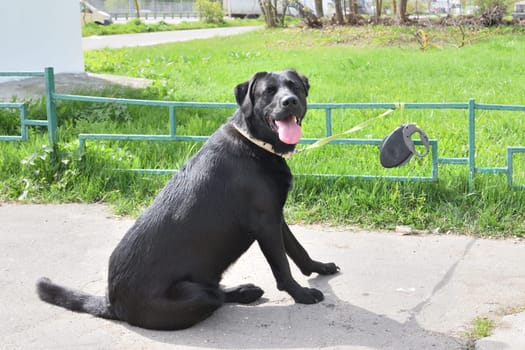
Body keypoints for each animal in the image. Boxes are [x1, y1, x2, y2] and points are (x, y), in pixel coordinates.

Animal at [36, 70, 340, 330]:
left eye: (295, 87)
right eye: (268, 92)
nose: (290, 102)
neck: (255, 142)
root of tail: (112, 303)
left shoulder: (276, 215)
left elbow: (297, 250)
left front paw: (319, 268)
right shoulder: (265, 222)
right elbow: (282, 266)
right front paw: (301, 294)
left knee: (217, 291)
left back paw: (244, 290)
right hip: (194, 295)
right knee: (215, 298)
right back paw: (242, 293)